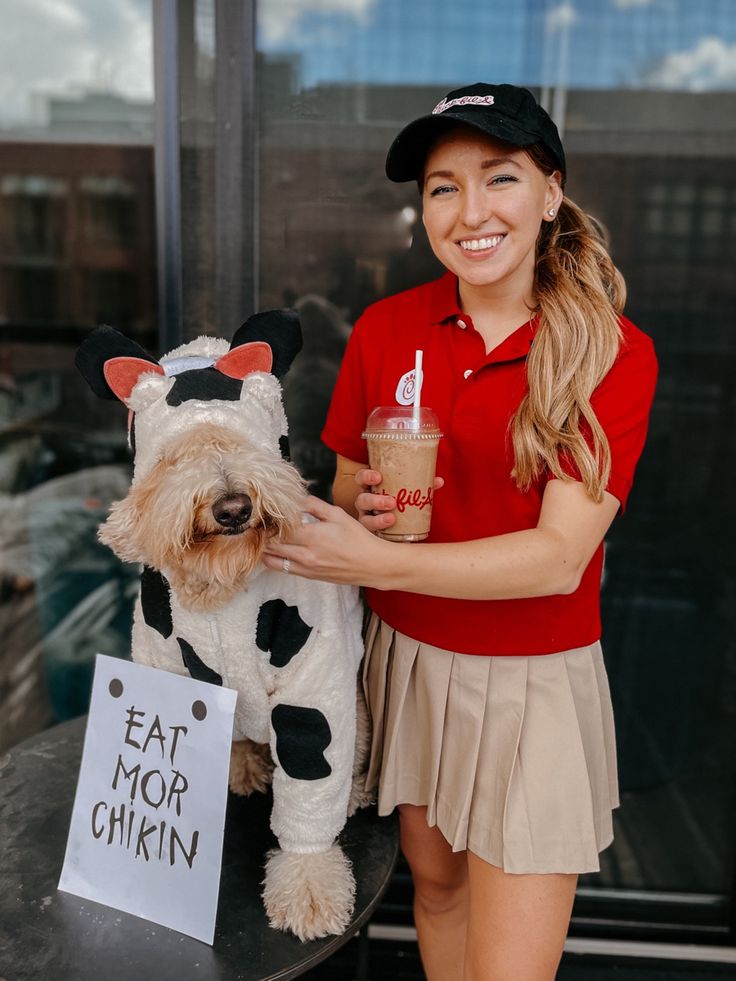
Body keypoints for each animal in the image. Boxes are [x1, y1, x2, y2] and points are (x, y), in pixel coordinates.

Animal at [75, 314, 368, 940]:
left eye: (246, 444)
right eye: (173, 457)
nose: (233, 507)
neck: (222, 584)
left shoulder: (316, 682)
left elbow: (311, 780)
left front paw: (308, 882)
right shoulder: (161, 659)